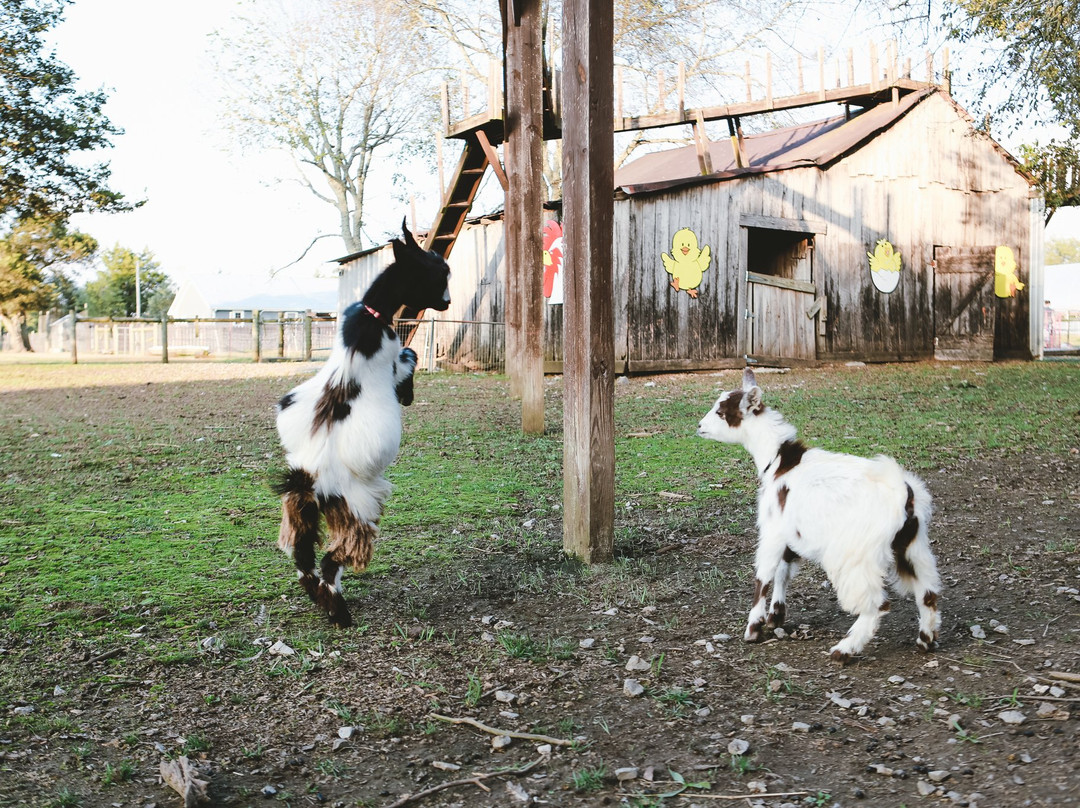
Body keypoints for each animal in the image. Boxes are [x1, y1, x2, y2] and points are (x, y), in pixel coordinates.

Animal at [278, 219, 451, 626]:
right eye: (438, 273)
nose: (448, 303)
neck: (371, 318)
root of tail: (312, 481)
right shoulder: (394, 360)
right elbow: (410, 355)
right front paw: (408, 394)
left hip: (301, 512)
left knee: (303, 559)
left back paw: (323, 602)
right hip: (357, 507)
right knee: (333, 559)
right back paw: (340, 614)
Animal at [695, 369, 941, 661]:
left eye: (722, 412)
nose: (699, 426)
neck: (779, 462)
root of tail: (904, 494)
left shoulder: (773, 529)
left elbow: (764, 575)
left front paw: (753, 629)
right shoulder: (791, 530)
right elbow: (784, 569)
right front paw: (776, 616)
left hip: (855, 552)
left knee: (878, 603)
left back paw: (845, 649)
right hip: (912, 545)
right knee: (927, 593)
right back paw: (925, 640)